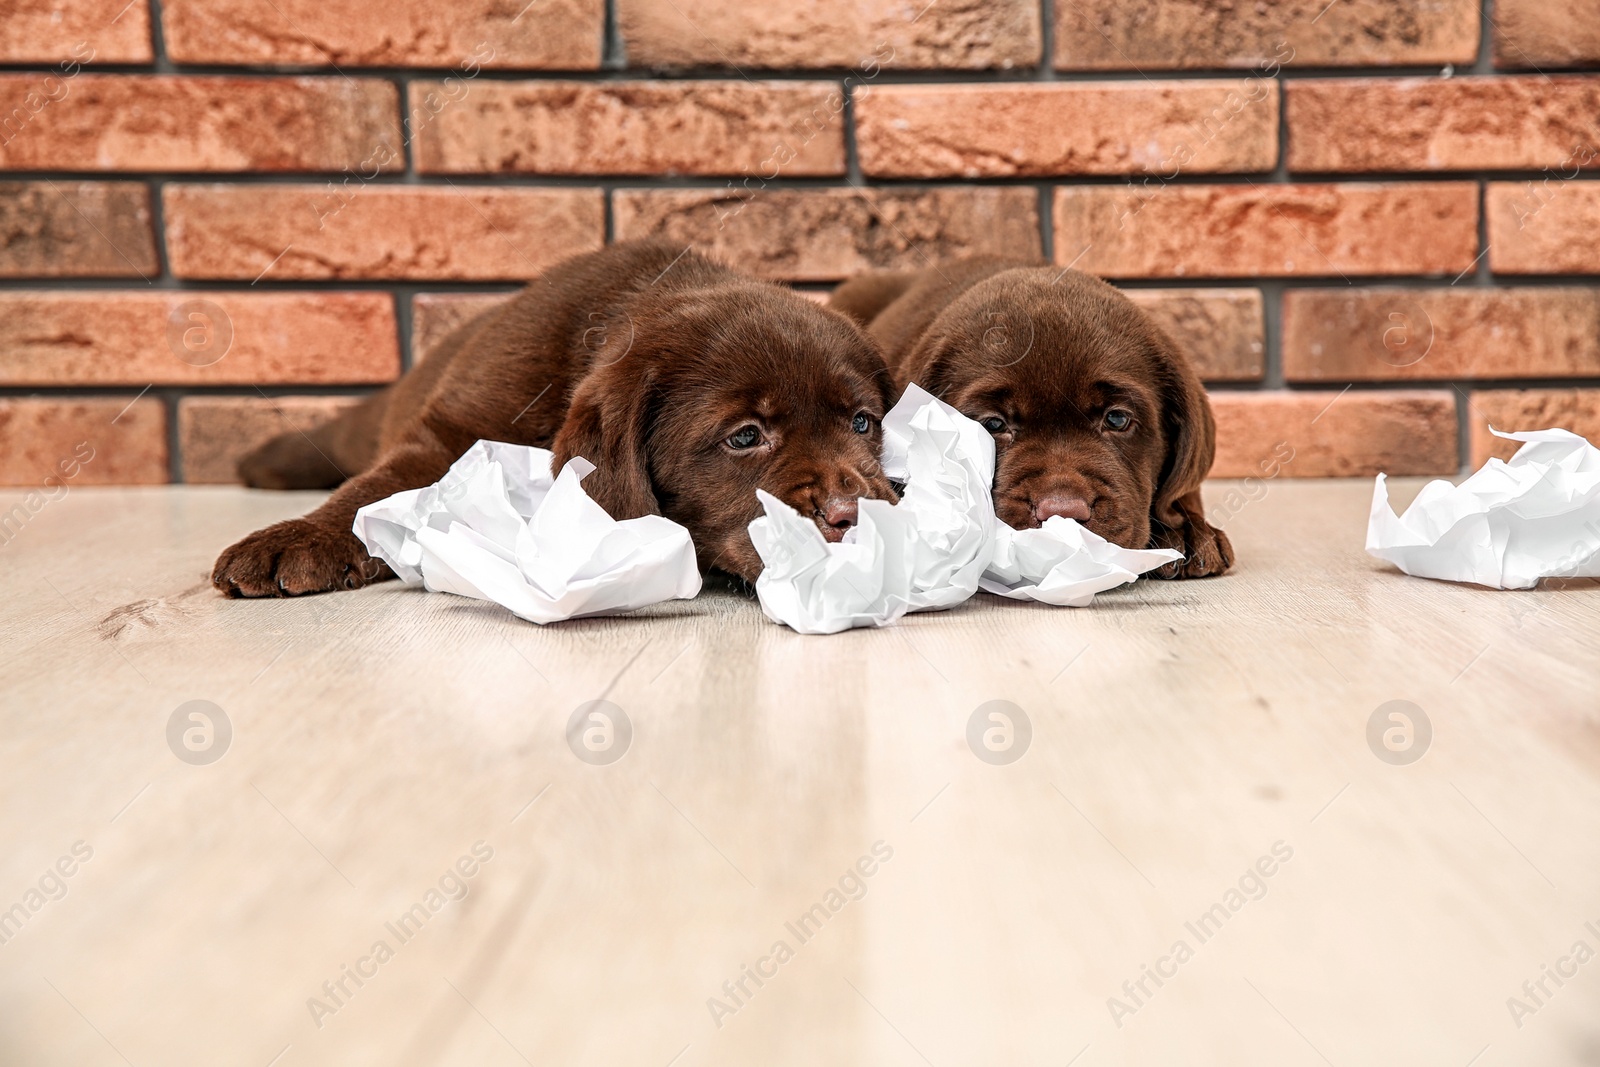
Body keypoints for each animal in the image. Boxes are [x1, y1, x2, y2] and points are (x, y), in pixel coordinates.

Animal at [209, 238, 902, 598]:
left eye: (863, 423)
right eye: (746, 437)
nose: (852, 515)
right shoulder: (452, 430)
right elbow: (375, 487)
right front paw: (298, 537)